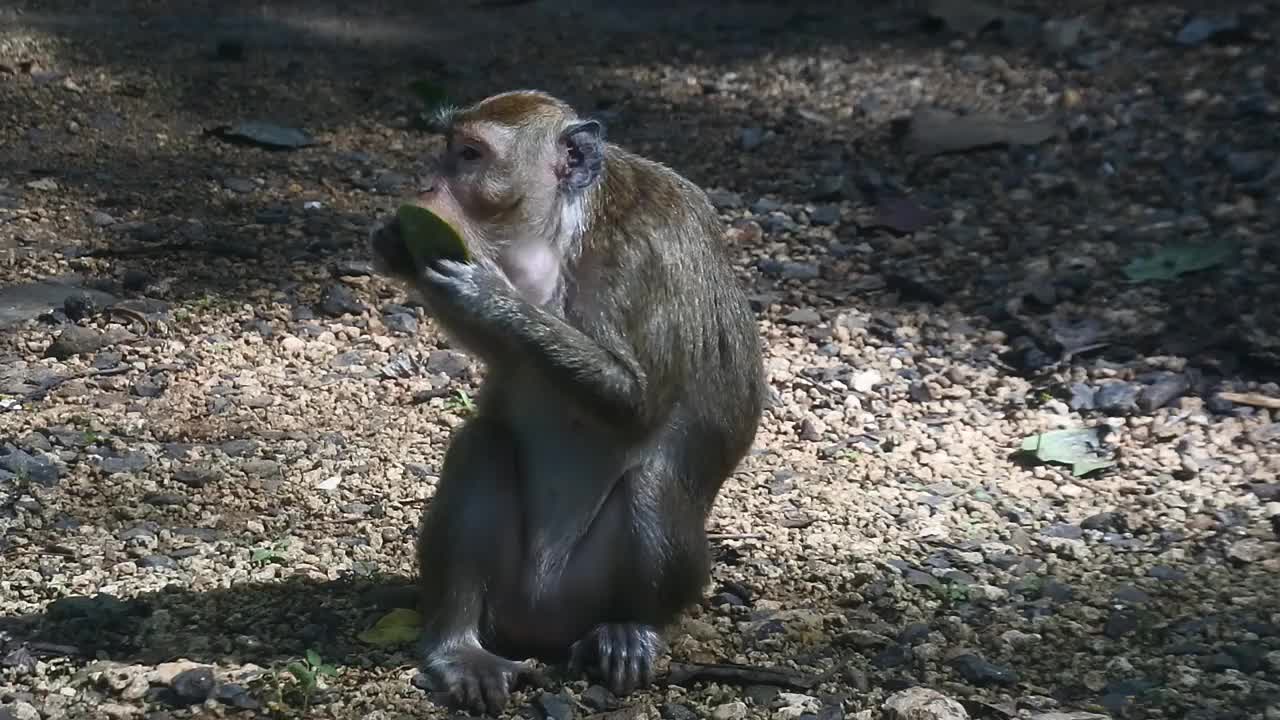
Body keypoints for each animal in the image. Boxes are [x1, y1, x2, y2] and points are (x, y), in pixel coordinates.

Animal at [366, 89, 762, 712]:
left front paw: (491, 296)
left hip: (591, 591)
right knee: (484, 444)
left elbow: (638, 403)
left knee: (651, 481)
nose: (427, 185)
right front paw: (401, 249)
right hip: (506, 595)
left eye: (470, 155)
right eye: (447, 150)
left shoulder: (646, 255)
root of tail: (541, 625)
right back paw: (460, 646)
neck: (566, 229)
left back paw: (630, 628)